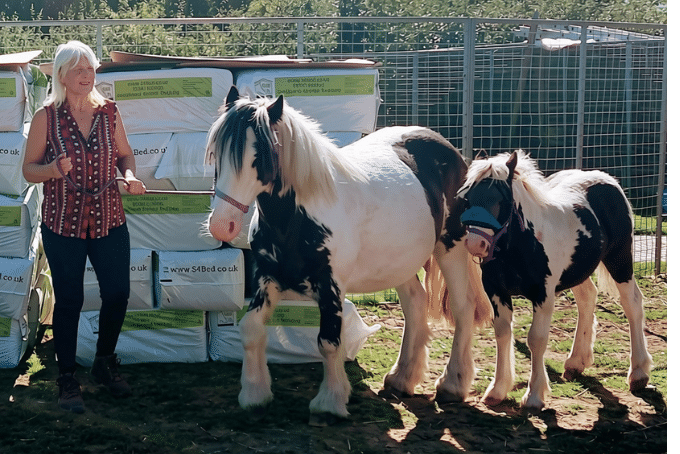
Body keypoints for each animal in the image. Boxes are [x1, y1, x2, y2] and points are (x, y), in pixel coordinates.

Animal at [205, 86, 491, 425]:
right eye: (216, 153)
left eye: (260, 155)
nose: (221, 225)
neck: (297, 218)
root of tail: (451, 152)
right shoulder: (267, 279)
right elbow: (250, 329)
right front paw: (254, 393)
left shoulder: (331, 287)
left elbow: (329, 343)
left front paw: (330, 401)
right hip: (400, 262)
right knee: (415, 305)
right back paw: (402, 377)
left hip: (451, 248)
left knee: (462, 308)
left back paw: (452, 384)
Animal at [457, 149, 653, 410]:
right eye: (467, 198)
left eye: (502, 200)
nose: (475, 244)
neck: (520, 245)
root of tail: (608, 180)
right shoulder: (496, 291)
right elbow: (502, 333)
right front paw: (497, 390)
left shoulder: (544, 294)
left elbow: (536, 339)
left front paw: (534, 395)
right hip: (579, 270)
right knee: (587, 299)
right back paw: (576, 362)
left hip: (620, 260)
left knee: (632, 304)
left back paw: (638, 373)